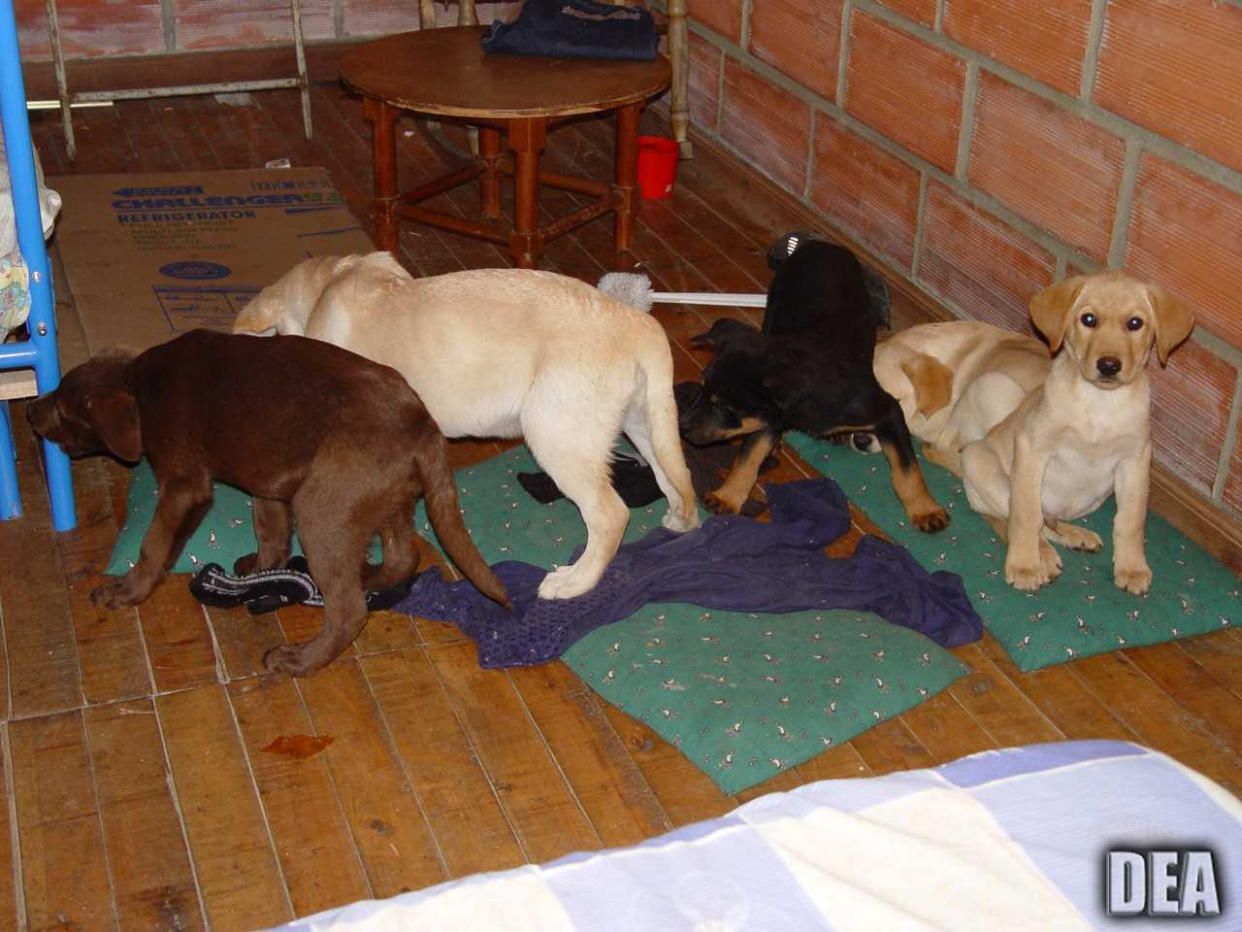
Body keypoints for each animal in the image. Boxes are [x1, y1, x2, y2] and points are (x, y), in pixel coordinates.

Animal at [31, 333, 511, 676]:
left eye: (63, 410)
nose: (30, 411)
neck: (140, 385)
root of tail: (424, 426)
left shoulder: (185, 485)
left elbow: (154, 545)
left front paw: (125, 592)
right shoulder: (268, 480)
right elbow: (270, 530)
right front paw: (260, 570)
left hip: (324, 507)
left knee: (349, 610)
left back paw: (299, 661)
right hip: (382, 498)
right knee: (401, 555)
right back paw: (368, 576)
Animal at [675, 234, 943, 531]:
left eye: (723, 406)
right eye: (701, 389)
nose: (681, 427)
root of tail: (818, 244)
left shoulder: (888, 410)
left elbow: (907, 468)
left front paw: (925, 509)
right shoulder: (768, 419)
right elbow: (747, 459)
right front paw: (728, 496)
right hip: (775, 304)